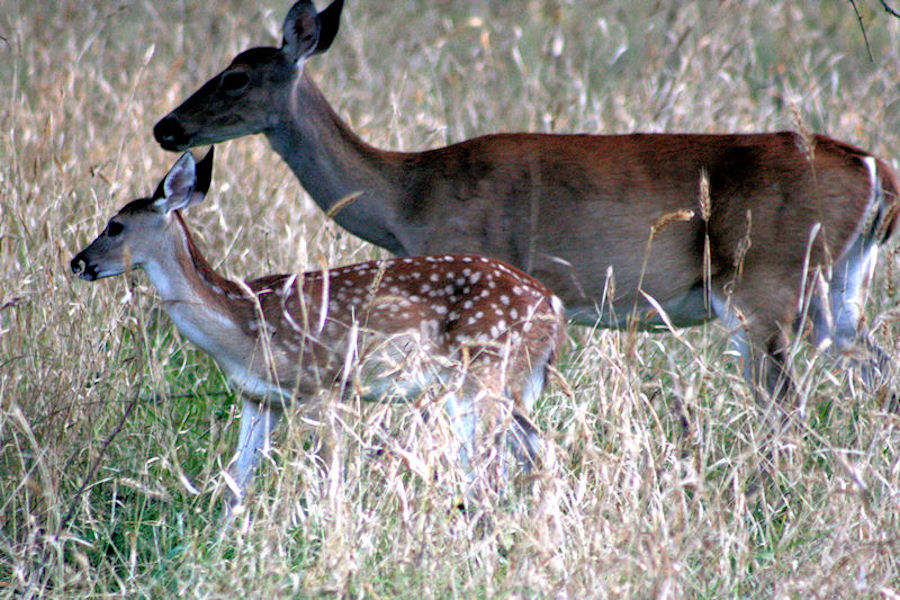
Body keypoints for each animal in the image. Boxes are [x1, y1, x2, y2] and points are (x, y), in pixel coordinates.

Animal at [70, 147, 566, 513]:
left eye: (115, 226)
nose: (78, 262)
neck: (242, 327)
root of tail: (553, 308)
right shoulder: (258, 398)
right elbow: (237, 482)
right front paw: (224, 541)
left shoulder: (325, 386)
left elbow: (330, 478)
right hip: (500, 385)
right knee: (536, 453)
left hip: (484, 375)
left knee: (500, 463)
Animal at [154, 0, 900, 408]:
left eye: (236, 77)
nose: (167, 127)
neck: (408, 195)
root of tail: (876, 172)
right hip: (838, 289)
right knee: (877, 372)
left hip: (762, 287)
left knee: (784, 406)